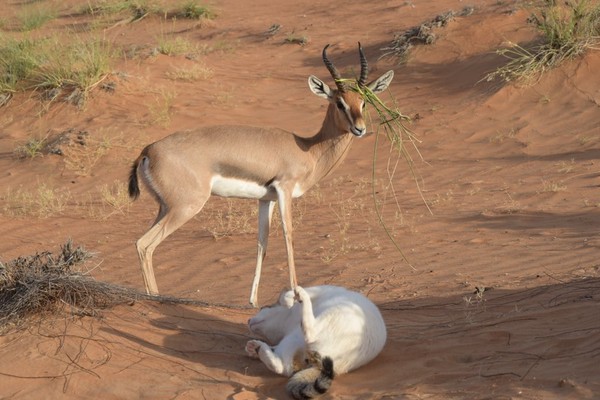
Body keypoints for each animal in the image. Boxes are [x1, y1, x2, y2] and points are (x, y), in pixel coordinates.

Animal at [246, 286, 386, 398]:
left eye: (262, 308)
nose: (248, 320)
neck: (288, 322)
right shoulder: (288, 337)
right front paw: (253, 350)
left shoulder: (316, 289)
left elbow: (290, 294)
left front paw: (289, 298)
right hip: (295, 338)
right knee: (284, 366)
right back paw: (257, 348)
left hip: (327, 318)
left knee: (307, 337)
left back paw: (302, 295)